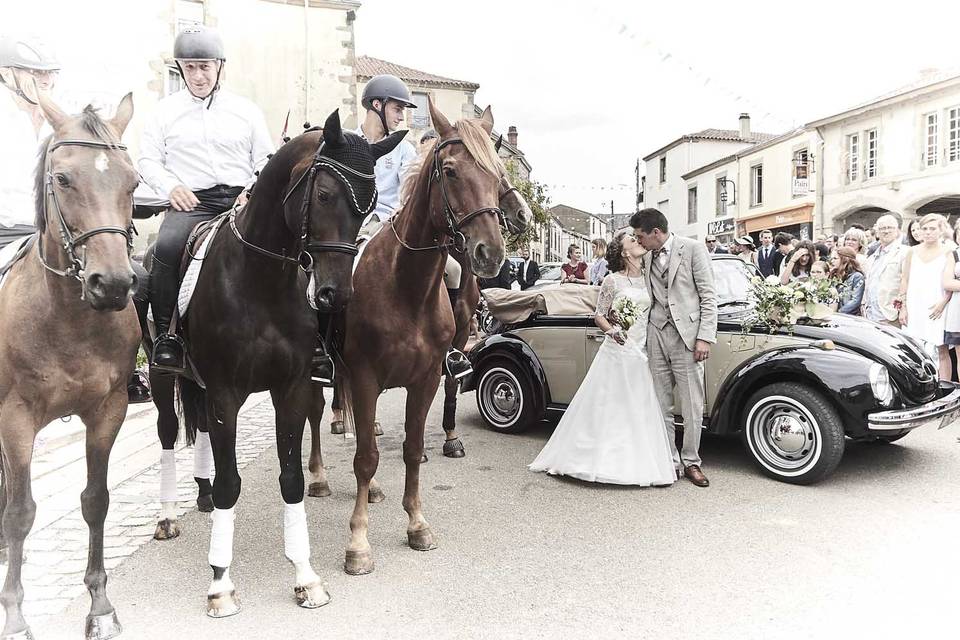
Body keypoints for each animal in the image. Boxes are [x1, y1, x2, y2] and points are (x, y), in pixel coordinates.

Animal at [0, 95, 140, 640]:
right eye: (62, 178)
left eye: (133, 182)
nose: (114, 283)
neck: (68, 319)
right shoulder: (15, 420)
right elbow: (21, 513)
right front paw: (16, 613)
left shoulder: (108, 410)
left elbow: (95, 500)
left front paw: (99, 605)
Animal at [174, 109, 404, 616]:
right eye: (324, 194)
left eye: (368, 206)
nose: (336, 295)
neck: (261, 279)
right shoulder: (225, 394)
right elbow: (230, 483)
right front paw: (220, 583)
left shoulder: (292, 388)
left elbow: (293, 478)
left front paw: (305, 575)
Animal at [334, 97, 506, 572]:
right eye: (449, 170)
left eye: (497, 174)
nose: (490, 253)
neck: (404, 287)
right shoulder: (365, 376)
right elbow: (366, 457)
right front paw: (358, 542)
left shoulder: (425, 378)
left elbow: (411, 449)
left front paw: (416, 524)